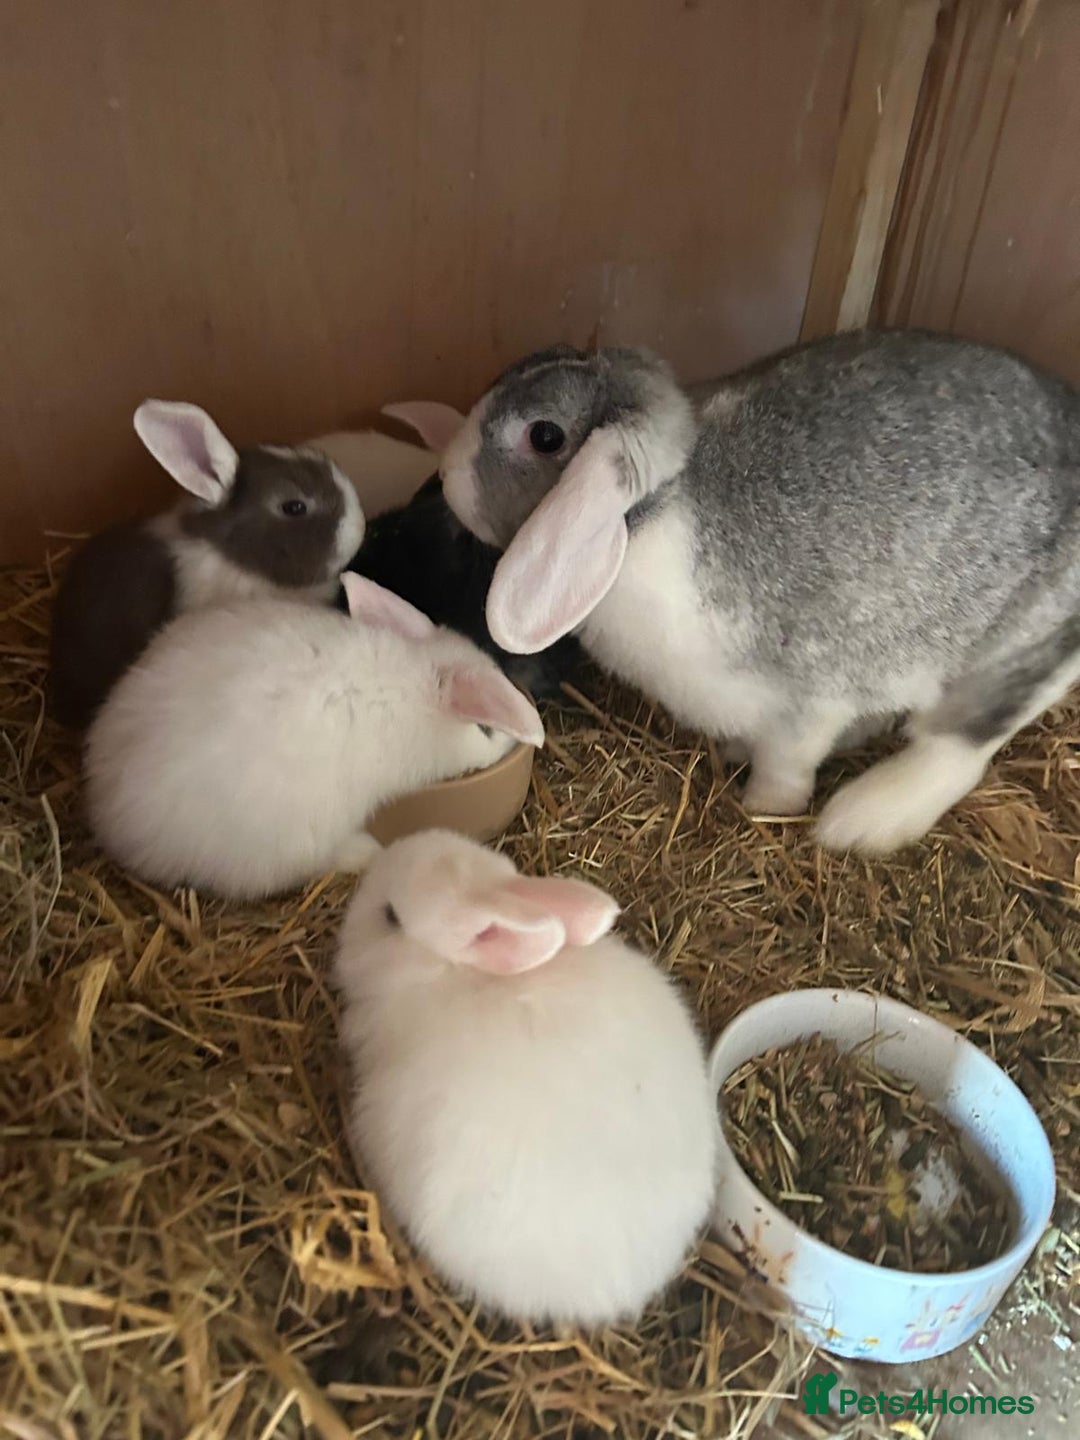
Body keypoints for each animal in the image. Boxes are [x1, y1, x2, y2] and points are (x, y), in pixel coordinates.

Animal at [429, 330, 1080, 856]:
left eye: (544, 435)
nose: (447, 474)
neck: (661, 512)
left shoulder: (808, 707)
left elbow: (787, 768)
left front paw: (762, 806)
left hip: (1012, 656)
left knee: (960, 746)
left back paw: (860, 820)